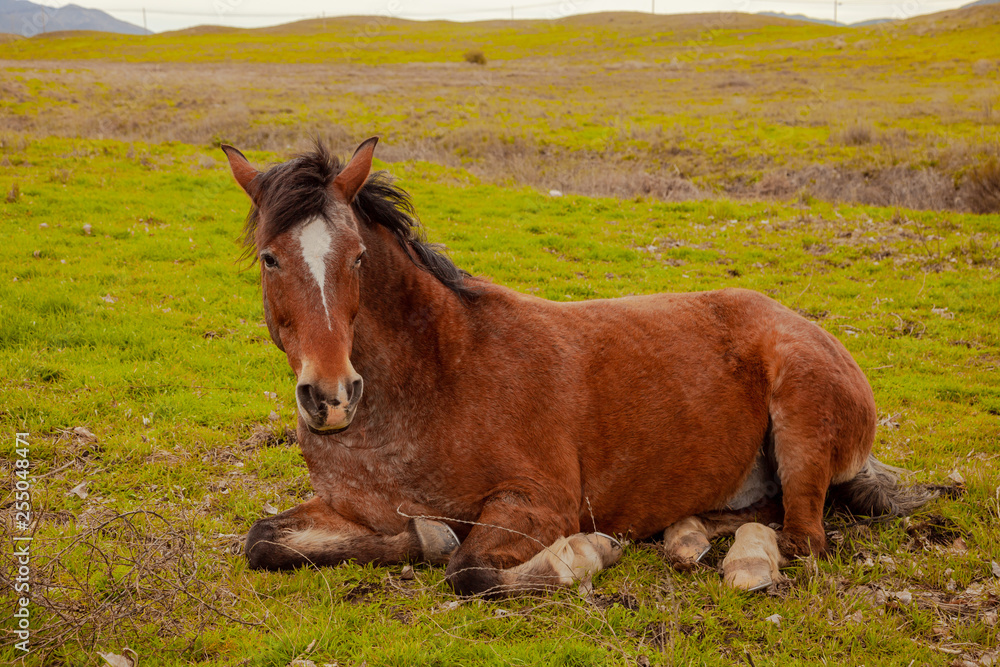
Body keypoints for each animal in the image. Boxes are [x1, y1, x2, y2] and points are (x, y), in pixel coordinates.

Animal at [221, 137, 932, 597]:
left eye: (358, 257)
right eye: (270, 258)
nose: (332, 398)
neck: (433, 380)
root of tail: (806, 326)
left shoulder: (538, 506)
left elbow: (468, 571)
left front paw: (583, 555)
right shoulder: (350, 509)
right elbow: (264, 540)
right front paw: (427, 535)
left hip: (802, 428)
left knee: (800, 535)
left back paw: (741, 563)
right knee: (756, 511)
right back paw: (686, 536)